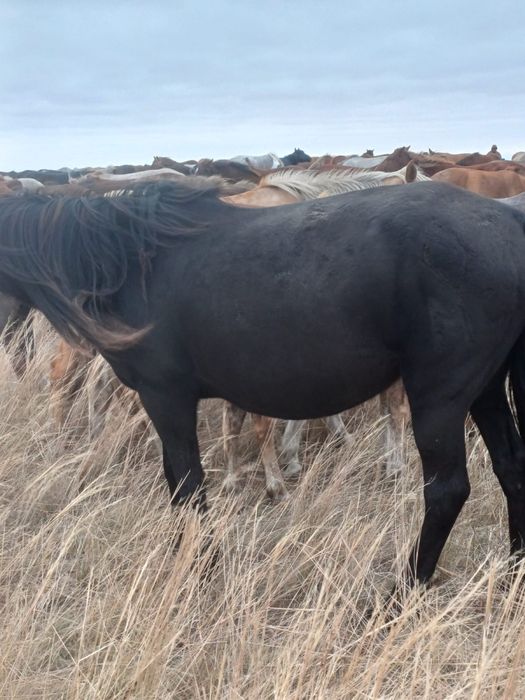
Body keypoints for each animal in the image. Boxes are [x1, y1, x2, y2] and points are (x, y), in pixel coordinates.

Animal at [1, 180, 525, 591]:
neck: (131, 261)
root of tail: (508, 220)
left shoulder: (165, 397)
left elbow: (186, 485)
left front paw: (201, 570)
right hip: (484, 389)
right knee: (511, 468)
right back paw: (512, 574)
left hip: (441, 395)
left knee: (447, 491)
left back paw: (402, 591)